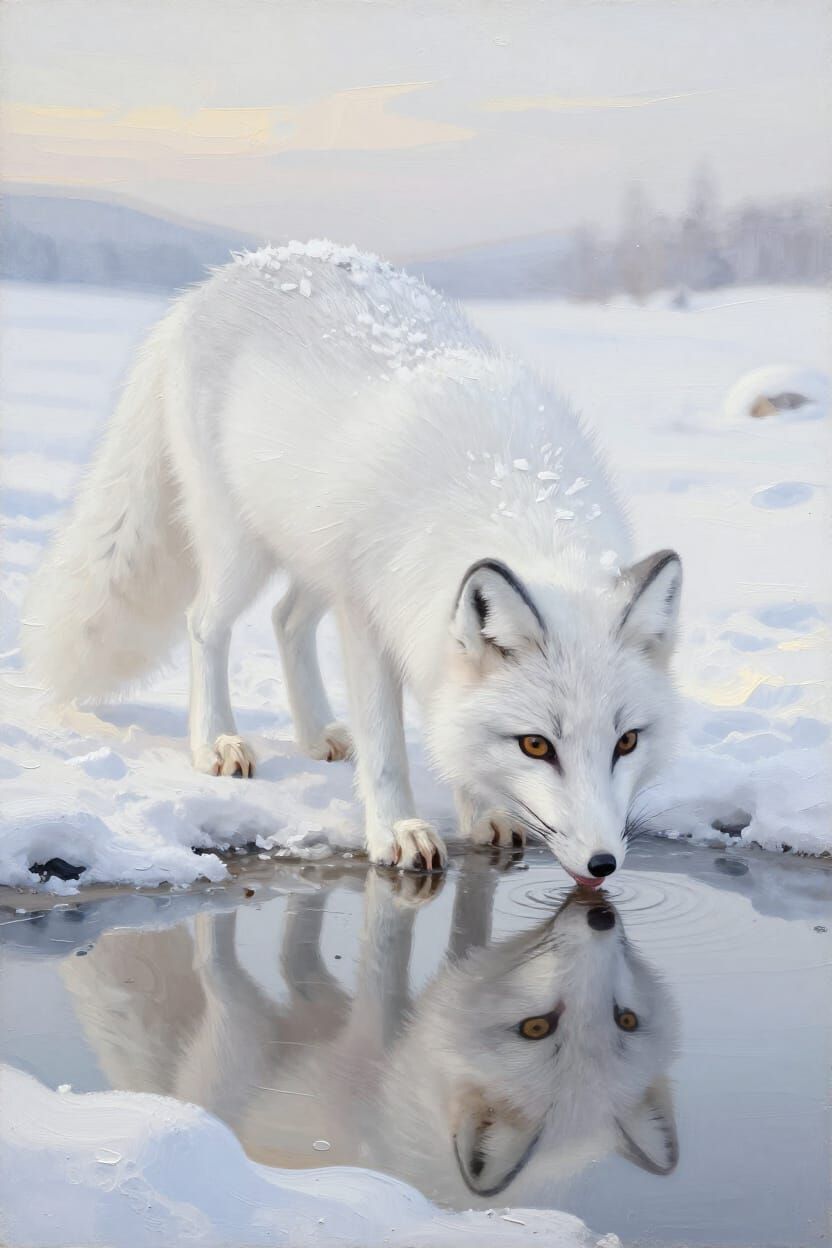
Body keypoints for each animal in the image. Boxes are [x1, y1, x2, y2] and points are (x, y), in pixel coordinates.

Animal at [25, 240, 683, 884]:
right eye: (537, 746)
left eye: (626, 741)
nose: (602, 864)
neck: (514, 493)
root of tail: (219, 276)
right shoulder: (369, 616)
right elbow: (386, 745)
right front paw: (397, 831)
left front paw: (481, 812)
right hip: (244, 549)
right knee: (205, 624)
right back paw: (216, 742)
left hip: (317, 554)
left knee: (286, 619)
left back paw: (316, 733)